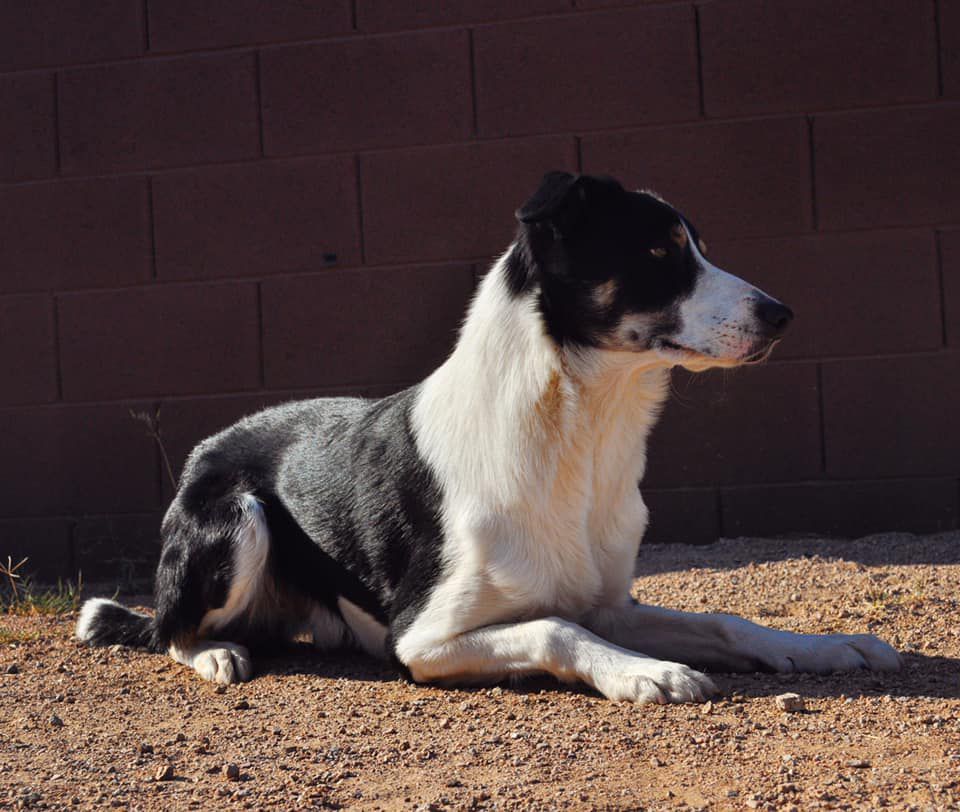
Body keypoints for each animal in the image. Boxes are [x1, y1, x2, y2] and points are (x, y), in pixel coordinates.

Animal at [77, 173, 900, 704]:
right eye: (660, 253)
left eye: (694, 246)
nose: (783, 315)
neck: (576, 430)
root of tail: (206, 448)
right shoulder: (424, 639)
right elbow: (553, 630)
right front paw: (644, 672)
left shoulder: (611, 605)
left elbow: (724, 621)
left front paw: (825, 647)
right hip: (237, 519)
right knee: (169, 631)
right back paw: (216, 651)